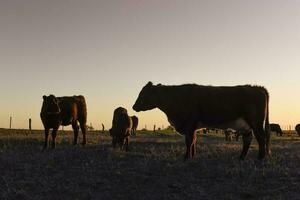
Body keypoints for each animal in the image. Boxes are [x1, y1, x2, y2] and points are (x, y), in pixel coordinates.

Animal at [132, 80, 270, 160]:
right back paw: (241, 157)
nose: (134, 106)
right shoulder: (193, 127)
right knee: (248, 139)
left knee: (261, 138)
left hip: (256, 122)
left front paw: (186, 157)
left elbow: (189, 141)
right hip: (245, 125)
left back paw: (260, 158)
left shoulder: (189, 124)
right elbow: (193, 140)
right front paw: (192, 155)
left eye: (143, 93)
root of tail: (256, 87)